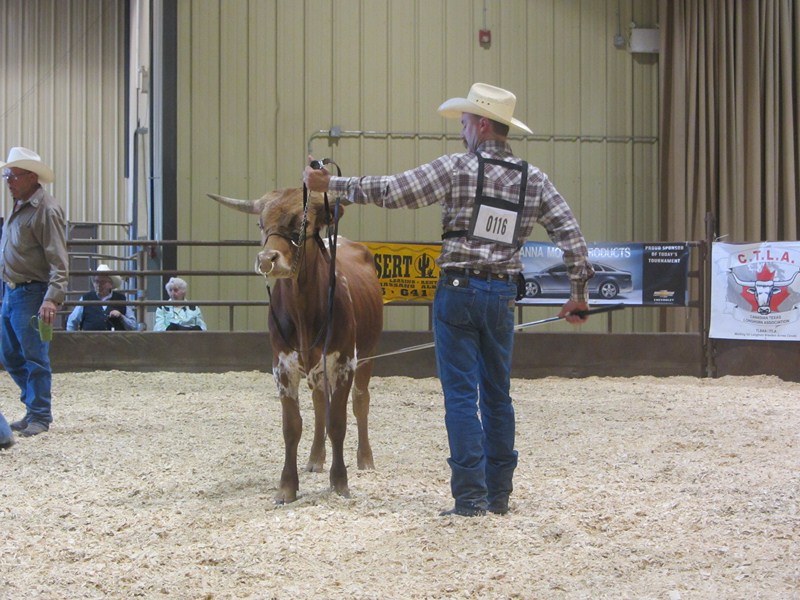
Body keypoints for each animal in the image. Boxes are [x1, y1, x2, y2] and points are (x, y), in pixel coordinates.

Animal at [209, 188, 383, 504]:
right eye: (261, 224)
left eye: (302, 224)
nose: (267, 259)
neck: (304, 308)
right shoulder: (282, 367)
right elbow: (293, 425)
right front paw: (287, 486)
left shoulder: (343, 363)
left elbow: (338, 422)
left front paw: (340, 481)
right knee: (319, 404)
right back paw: (315, 458)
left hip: (368, 353)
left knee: (360, 401)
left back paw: (365, 458)